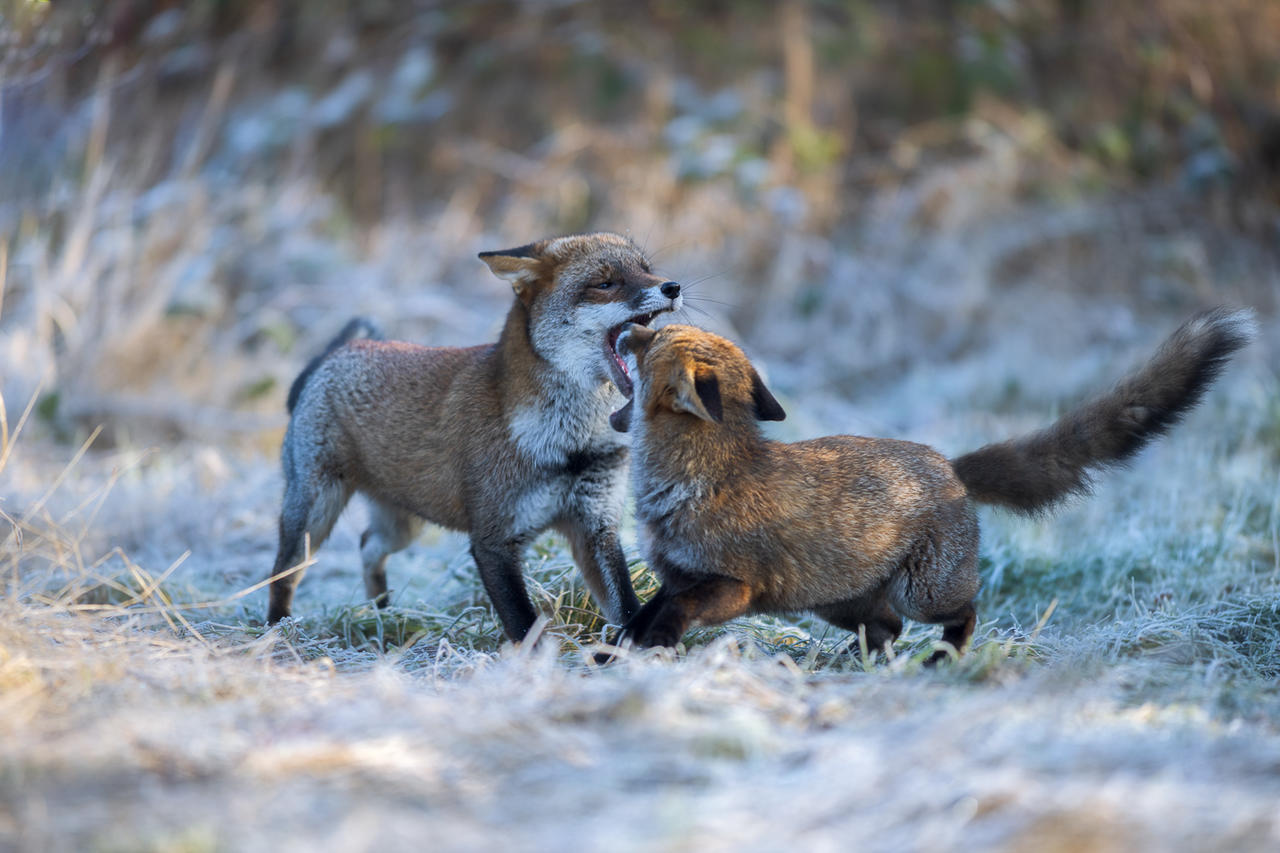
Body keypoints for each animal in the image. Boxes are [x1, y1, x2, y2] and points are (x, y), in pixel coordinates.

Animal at [266, 233, 686, 637]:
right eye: (605, 283)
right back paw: (278, 632)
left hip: (402, 526)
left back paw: (382, 614)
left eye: (646, 269)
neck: (572, 444)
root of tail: (333, 354)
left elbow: (627, 608)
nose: (672, 286)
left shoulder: (596, 527)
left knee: (368, 544)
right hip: (314, 516)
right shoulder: (492, 541)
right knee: (282, 575)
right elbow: (523, 627)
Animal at [604, 307, 1254, 655]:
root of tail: (950, 465)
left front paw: (657, 649)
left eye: (653, 341)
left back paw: (944, 658)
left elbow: (672, 615)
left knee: (965, 610)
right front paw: (615, 657)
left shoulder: (731, 586)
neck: (692, 481)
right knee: (886, 629)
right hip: (838, 602)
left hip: (924, 592)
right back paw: (860, 665)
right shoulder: (677, 575)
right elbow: (638, 614)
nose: (632, 325)